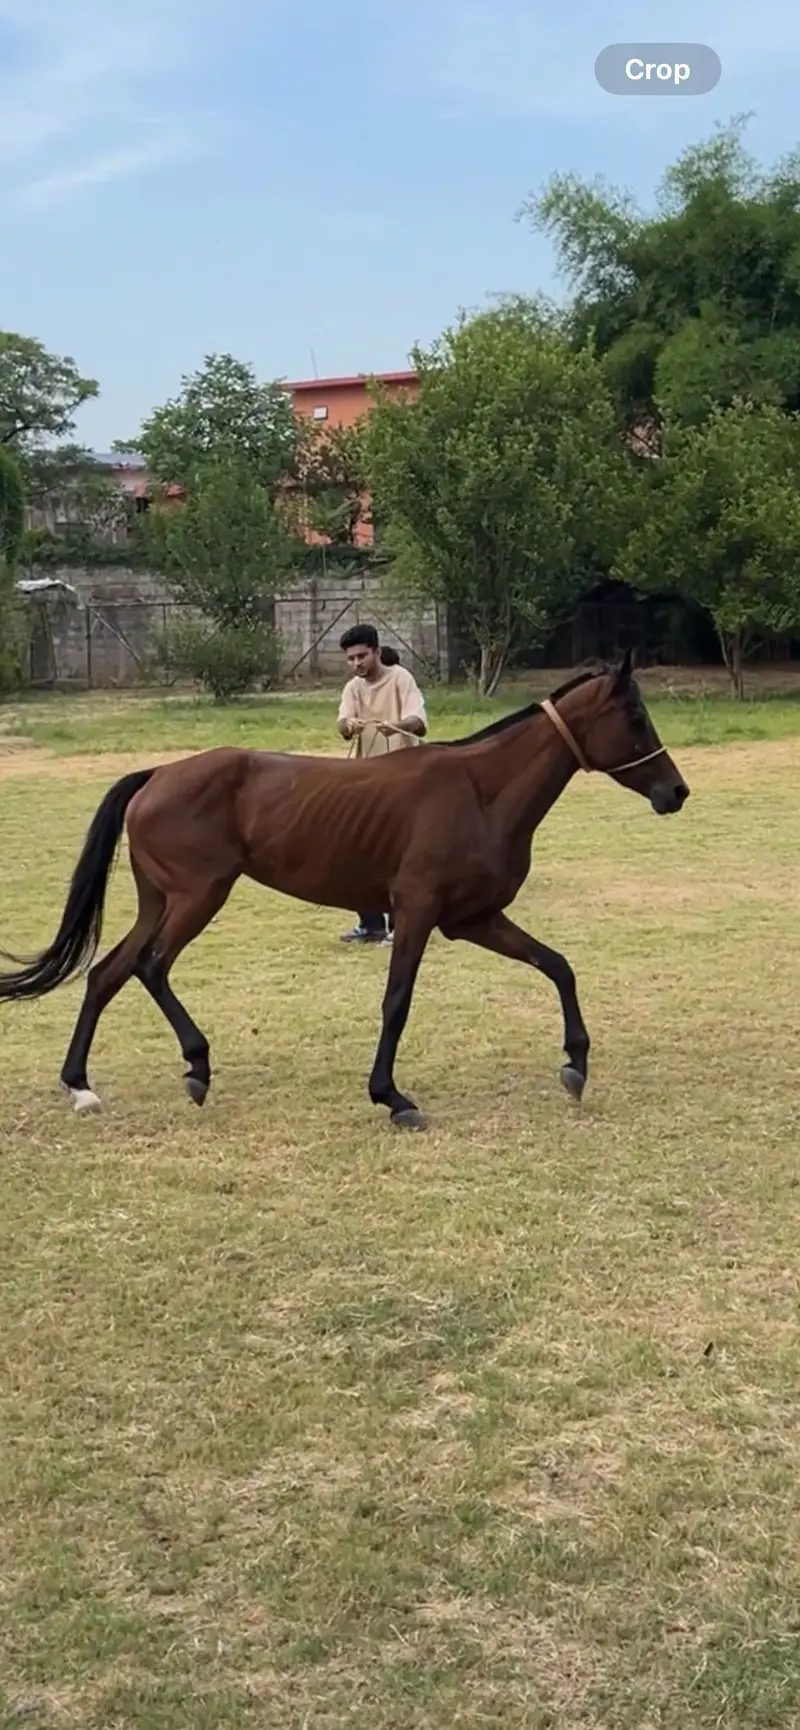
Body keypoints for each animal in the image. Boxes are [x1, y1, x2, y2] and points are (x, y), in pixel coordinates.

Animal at [0, 652, 689, 1130]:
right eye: (634, 716)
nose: (676, 792)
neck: (480, 792)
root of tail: (158, 774)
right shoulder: (417, 913)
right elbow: (397, 1002)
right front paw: (393, 1097)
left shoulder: (475, 919)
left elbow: (557, 966)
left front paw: (576, 1063)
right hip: (198, 898)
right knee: (150, 966)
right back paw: (196, 1065)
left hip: (161, 901)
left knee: (106, 974)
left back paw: (81, 1086)